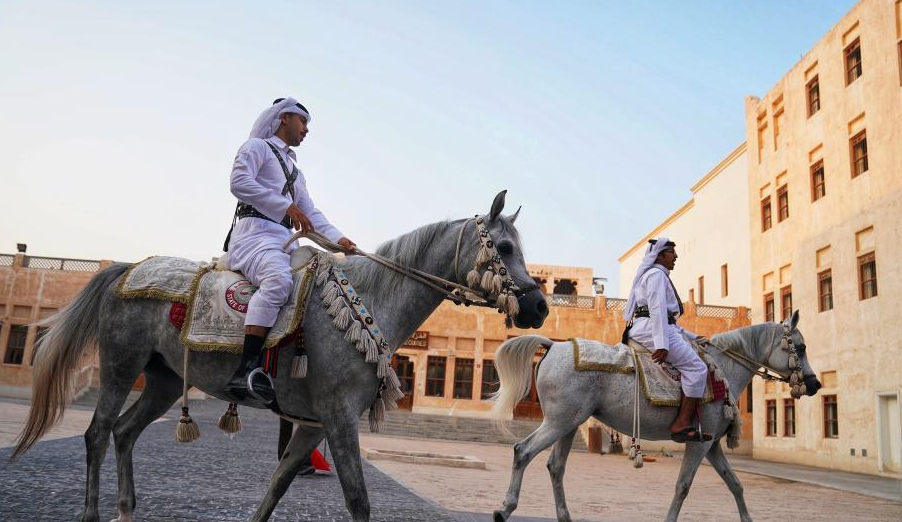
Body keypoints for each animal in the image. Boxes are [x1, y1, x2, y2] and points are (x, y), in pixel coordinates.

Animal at [15, 191, 552, 520]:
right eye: (504, 247)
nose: (540, 306)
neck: (368, 300)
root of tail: (128, 268)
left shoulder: (315, 424)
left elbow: (276, 486)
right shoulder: (338, 417)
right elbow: (358, 500)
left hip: (164, 379)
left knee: (125, 432)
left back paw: (127, 508)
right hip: (120, 366)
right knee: (97, 433)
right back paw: (92, 511)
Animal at [490, 308, 824, 520]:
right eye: (801, 347)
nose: (815, 383)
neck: (722, 368)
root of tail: (552, 346)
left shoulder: (712, 445)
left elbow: (735, 485)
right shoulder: (700, 443)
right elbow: (683, 486)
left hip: (569, 424)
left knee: (555, 467)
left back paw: (564, 516)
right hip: (559, 422)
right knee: (523, 451)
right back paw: (505, 507)